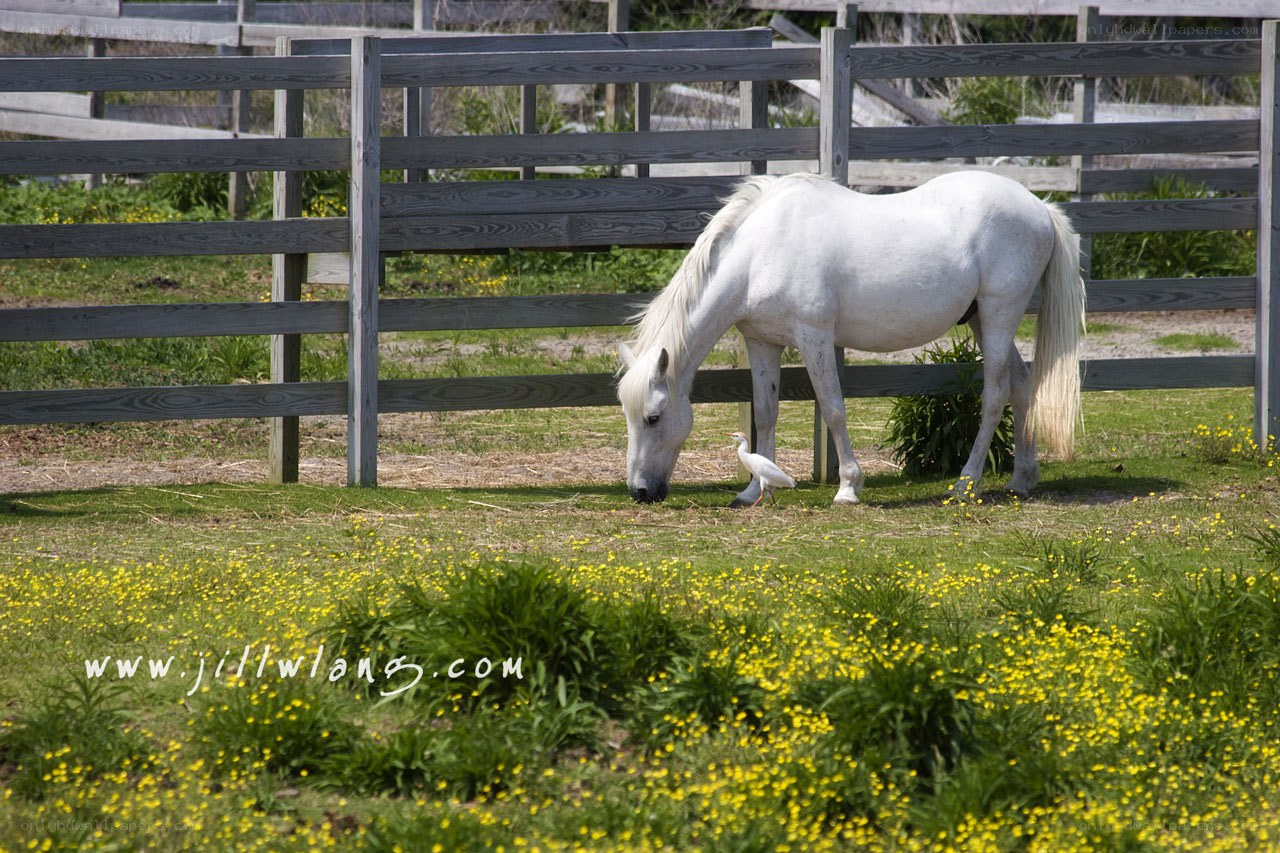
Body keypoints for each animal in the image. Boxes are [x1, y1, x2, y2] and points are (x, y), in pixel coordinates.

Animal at [617, 171, 1085, 506]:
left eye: (654, 417)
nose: (640, 492)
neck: (759, 251)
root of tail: (1039, 207)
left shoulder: (815, 338)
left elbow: (833, 408)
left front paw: (847, 487)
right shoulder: (762, 342)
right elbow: (765, 413)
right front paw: (752, 490)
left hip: (999, 314)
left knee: (995, 394)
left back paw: (965, 485)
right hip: (980, 321)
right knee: (1022, 386)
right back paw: (1021, 480)